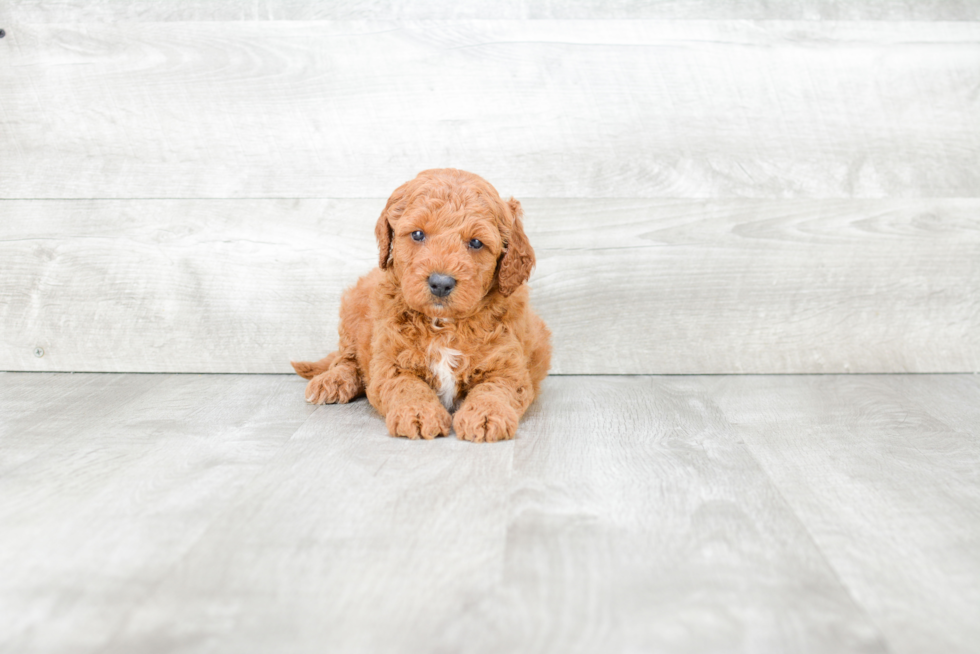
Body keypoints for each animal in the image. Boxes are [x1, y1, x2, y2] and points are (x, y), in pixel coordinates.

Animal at [290, 169, 552, 446]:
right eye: (417, 234)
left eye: (476, 242)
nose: (441, 283)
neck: (444, 324)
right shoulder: (391, 364)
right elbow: (407, 387)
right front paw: (417, 413)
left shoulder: (508, 367)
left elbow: (494, 389)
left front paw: (486, 415)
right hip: (353, 309)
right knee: (347, 359)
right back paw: (332, 381)